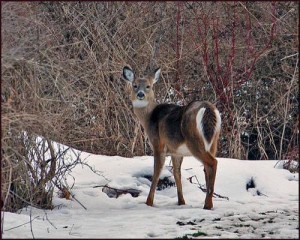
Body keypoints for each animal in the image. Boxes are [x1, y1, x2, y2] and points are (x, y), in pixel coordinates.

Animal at [120, 65, 221, 210]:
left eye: (148, 86)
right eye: (135, 85)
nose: (140, 94)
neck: (149, 118)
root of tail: (208, 109)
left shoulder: (158, 144)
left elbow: (156, 172)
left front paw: (149, 202)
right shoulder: (176, 152)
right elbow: (177, 174)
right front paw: (181, 202)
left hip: (194, 140)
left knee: (212, 163)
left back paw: (207, 205)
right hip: (214, 141)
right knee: (207, 167)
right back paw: (209, 203)